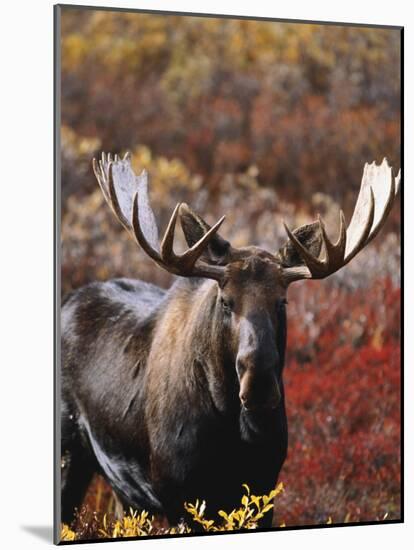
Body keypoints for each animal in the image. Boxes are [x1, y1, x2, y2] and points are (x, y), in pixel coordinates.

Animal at [59, 152, 400, 532]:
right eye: (225, 301)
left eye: (282, 301)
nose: (259, 384)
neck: (230, 426)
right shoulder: (179, 495)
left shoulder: (264, 486)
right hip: (69, 454)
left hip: (125, 494)